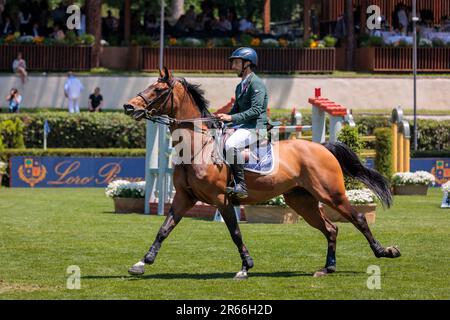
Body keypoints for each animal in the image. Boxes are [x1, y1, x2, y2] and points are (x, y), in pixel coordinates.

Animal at [120, 68, 400, 280]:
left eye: (157, 90)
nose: (128, 106)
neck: (197, 147)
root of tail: (321, 146)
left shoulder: (221, 199)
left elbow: (235, 232)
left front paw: (245, 267)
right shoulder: (184, 198)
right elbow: (164, 229)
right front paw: (142, 262)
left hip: (330, 194)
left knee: (358, 219)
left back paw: (384, 251)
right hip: (301, 200)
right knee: (331, 229)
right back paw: (327, 268)